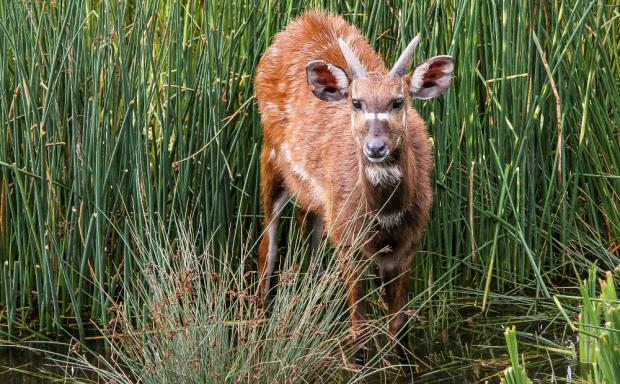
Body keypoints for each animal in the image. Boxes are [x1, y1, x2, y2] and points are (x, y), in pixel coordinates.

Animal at [254, 9, 452, 364]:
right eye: (357, 102)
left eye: (398, 101)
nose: (375, 147)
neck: (385, 216)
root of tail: (302, 20)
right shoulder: (349, 243)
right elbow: (359, 331)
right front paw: (357, 358)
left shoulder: (406, 244)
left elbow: (398, 331)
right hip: (271, 160)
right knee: (268, 246)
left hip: (320, 205)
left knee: (308, 232)